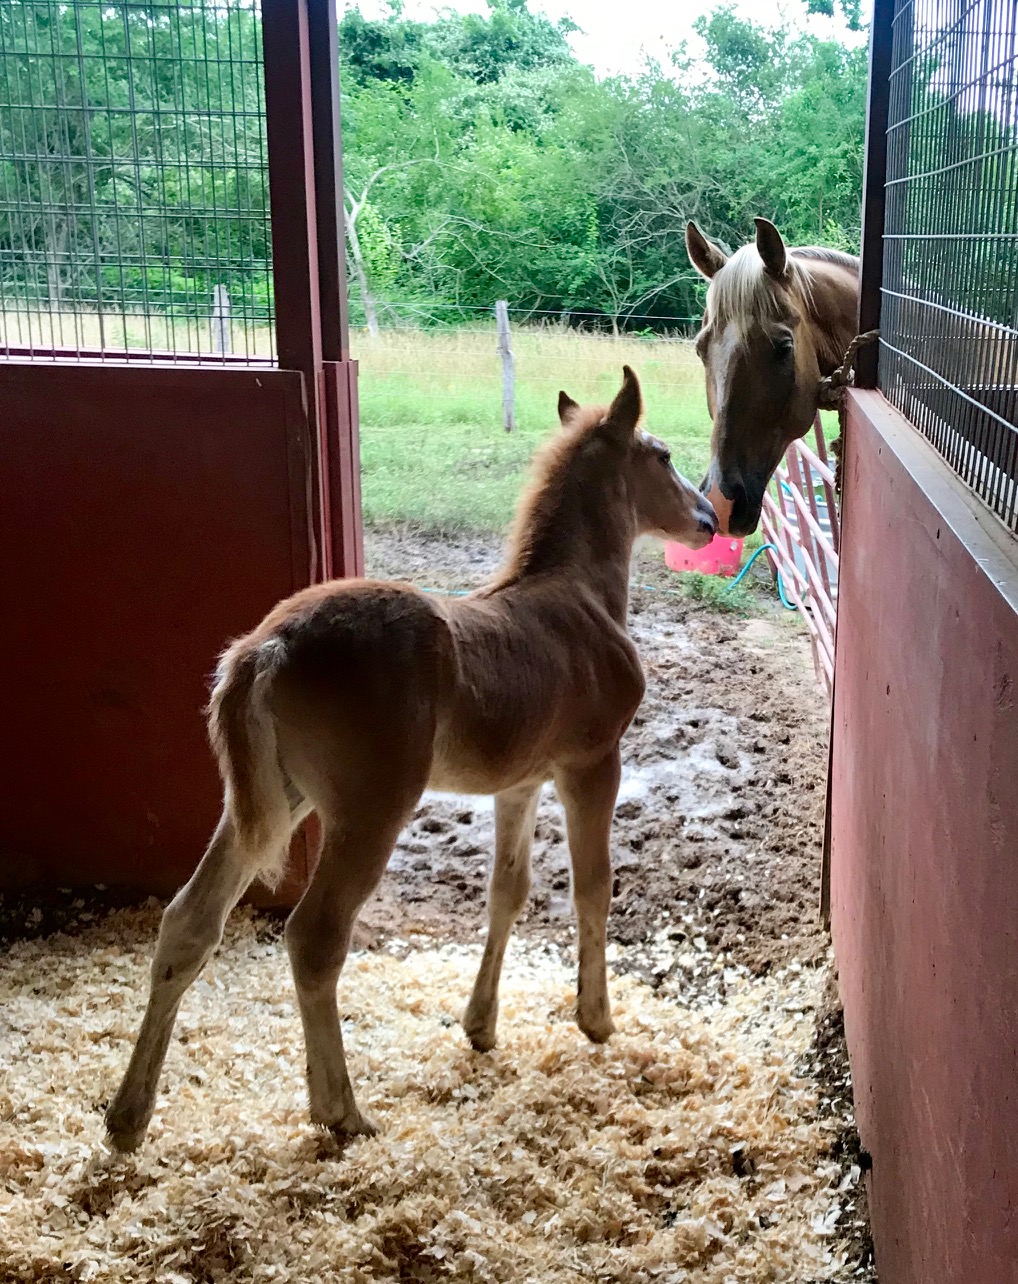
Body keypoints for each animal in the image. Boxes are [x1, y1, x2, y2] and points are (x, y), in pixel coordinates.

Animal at [105, 367, 713, 1150]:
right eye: (662, 456)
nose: (709, 518)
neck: (576, 599)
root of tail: (267, 647)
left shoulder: (519, 784)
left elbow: (508, 891)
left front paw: (481, 1027)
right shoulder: (592, 765)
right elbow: (593, 886)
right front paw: (597, 1019)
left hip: (266, 805)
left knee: (188, 923)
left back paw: (127, 1118)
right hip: (370, 812)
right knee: (315, 938)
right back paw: (341, 1111)